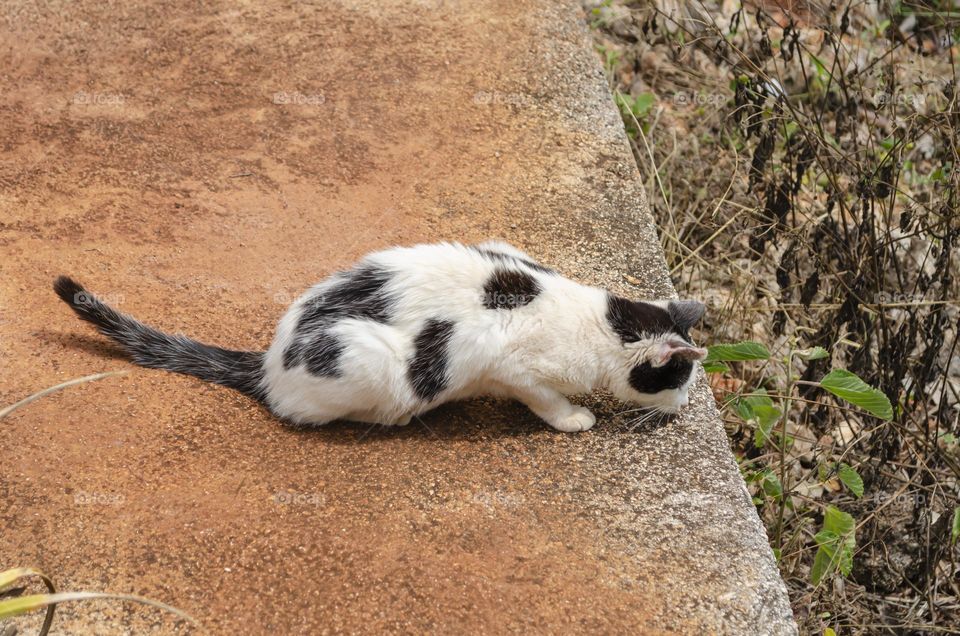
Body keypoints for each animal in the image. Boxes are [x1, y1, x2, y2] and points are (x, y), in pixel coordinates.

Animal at [56, 240, 708, 432]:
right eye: (680, 379)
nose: (682, 408)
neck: (604, 322)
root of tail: (269, 361)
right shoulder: (514, 366)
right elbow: (542, 398)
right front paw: (574, 418)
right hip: (362, 357)